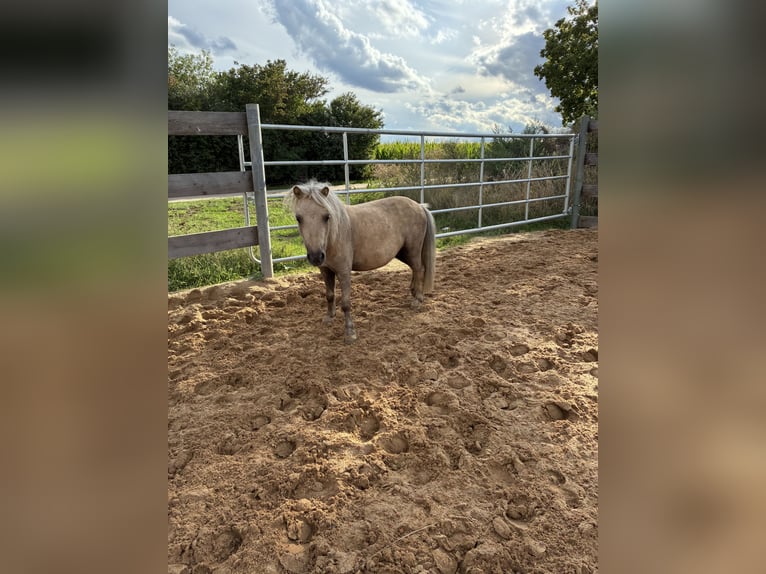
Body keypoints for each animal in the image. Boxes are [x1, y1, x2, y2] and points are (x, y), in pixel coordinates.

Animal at [285, 180, 436, 343]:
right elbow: (329, 295)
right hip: (403, 253)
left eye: (326, 216)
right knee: (415, 269)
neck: (335, 235)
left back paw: (418, 299)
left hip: (412, 250)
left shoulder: (344, 271)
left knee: (419, 269)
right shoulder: (325, 270)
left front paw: (350, 332)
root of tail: (419, 206)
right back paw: (414, 292)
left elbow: (345, 303)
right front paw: (329, 318)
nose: (316, 256)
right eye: (299, 218)